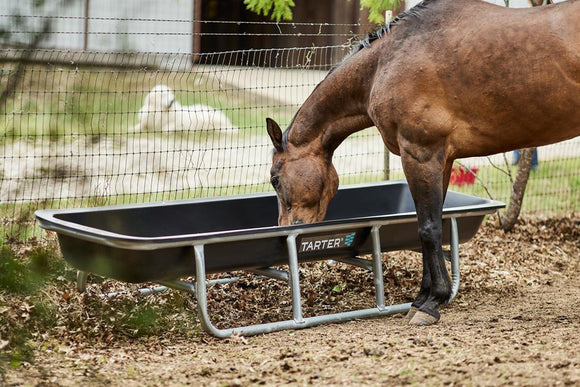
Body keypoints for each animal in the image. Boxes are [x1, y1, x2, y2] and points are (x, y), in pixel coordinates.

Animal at [268, 0, 580, 328]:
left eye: (275, 179)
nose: (283, 230)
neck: (385, 63)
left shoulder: (420, 154)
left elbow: (427, 228)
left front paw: (432, 302)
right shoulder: (441, 160)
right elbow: (433, 223)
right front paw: (422, 297)